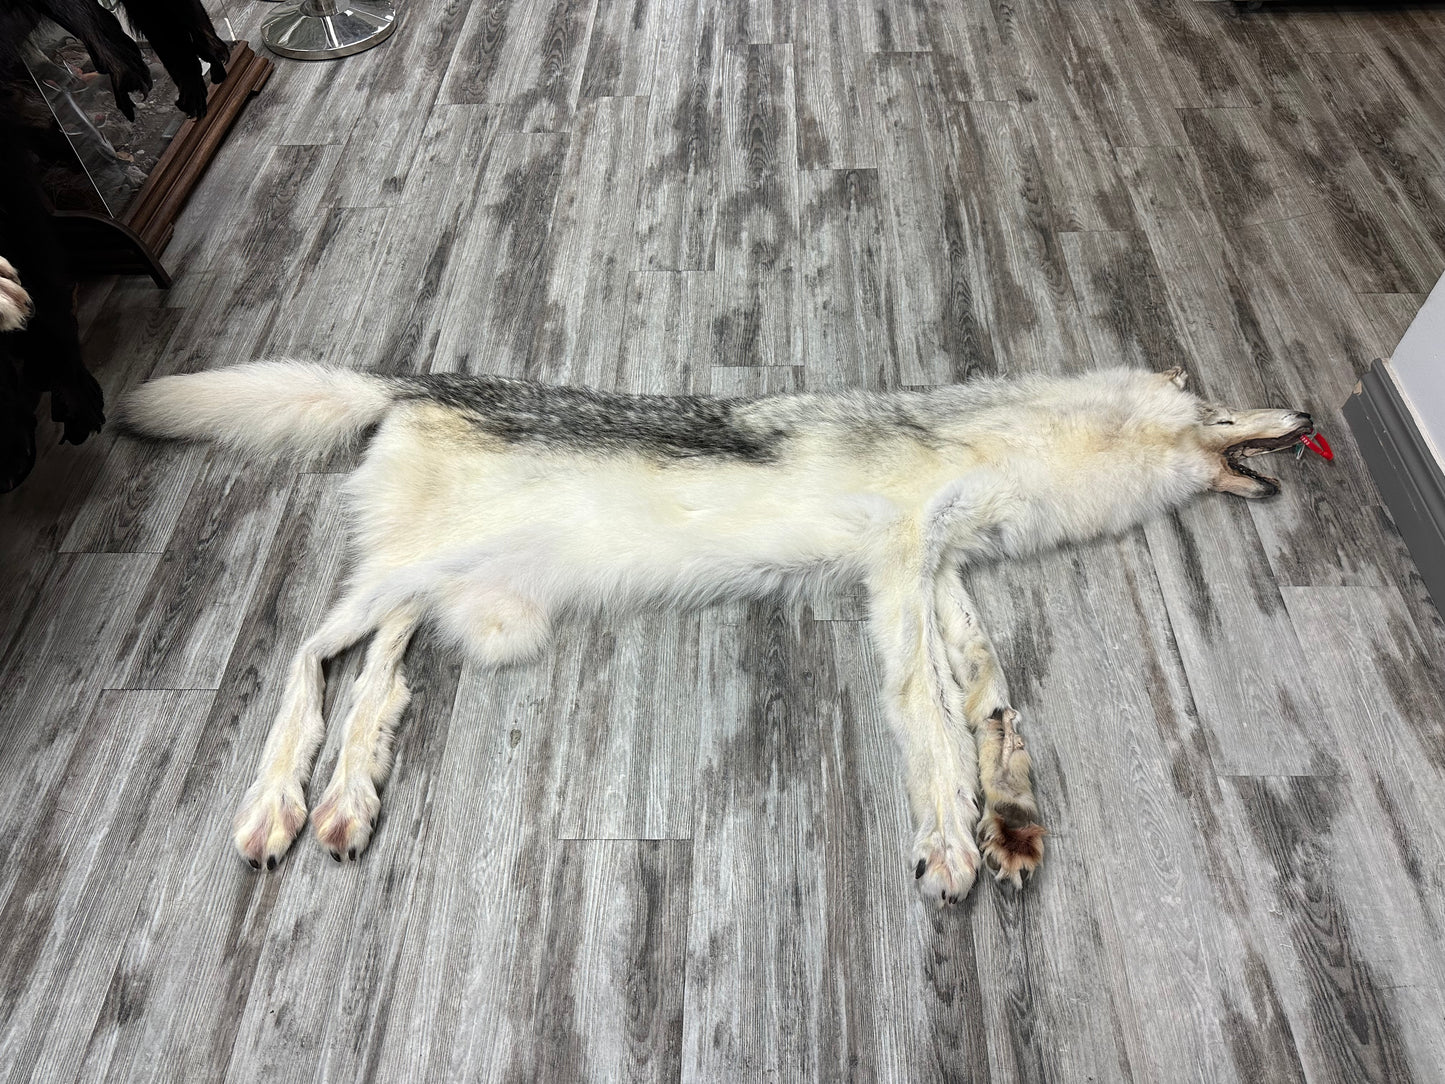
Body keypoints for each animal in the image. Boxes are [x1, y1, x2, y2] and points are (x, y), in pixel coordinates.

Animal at [117, 362, 1311, 906]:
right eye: (1220, 406)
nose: (1304, 415)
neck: (1010, 452)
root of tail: (405, 385)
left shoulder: (940, 572)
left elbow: (989, 696)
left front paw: (1009, 819)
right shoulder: (900, 565)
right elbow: (928, 717)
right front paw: (949, 841)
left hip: (443, 595)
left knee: (377, 683)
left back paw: (348, 801)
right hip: (401, 583)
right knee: (305, 656)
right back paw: (278, 803)